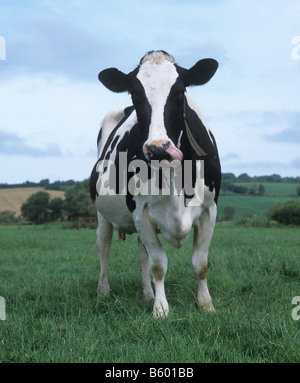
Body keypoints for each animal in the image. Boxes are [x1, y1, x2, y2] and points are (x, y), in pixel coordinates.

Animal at [89, 51, 220, 320]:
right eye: (134, 93)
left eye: (180, 91)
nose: (158, 148)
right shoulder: (141, 210)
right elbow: (158, 264)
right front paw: (161, 309)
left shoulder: (209, 209)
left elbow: (200, 263)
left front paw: (206, 304)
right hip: (102, 213)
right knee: (103, 245)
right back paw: (103, 292)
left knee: (141, 255)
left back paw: (146, 293)